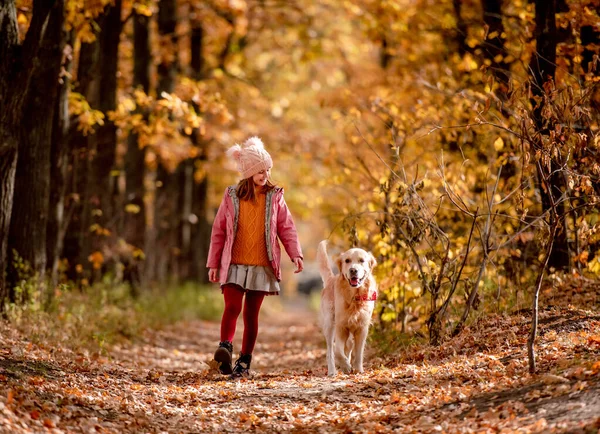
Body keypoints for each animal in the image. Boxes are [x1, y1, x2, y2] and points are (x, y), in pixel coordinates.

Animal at [316, 241, 378, 376]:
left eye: (362, 260)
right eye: (347, 260)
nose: (353, 270)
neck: (355, 297)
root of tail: (331, 279)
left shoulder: (362, 328)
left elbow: (359, 352)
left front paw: (358, 369)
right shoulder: (341, 326)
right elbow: (338, 351)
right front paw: (345, 366)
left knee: (348, 347)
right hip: (329, 324)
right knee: (330, 351)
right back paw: (332, 371)